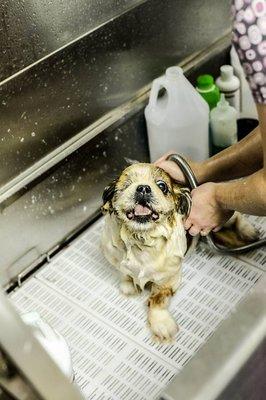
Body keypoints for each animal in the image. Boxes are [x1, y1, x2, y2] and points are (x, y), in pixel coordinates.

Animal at [101, 163, 258, 344]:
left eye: (162, 186)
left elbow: (158, 301)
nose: (143, 188)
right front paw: (128, 285)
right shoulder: (114, 257)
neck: (141, 241)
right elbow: (123, 272)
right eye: (127, 184)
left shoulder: (168, 278)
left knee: (236, 215)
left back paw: (248, 230)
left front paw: (161, 324)